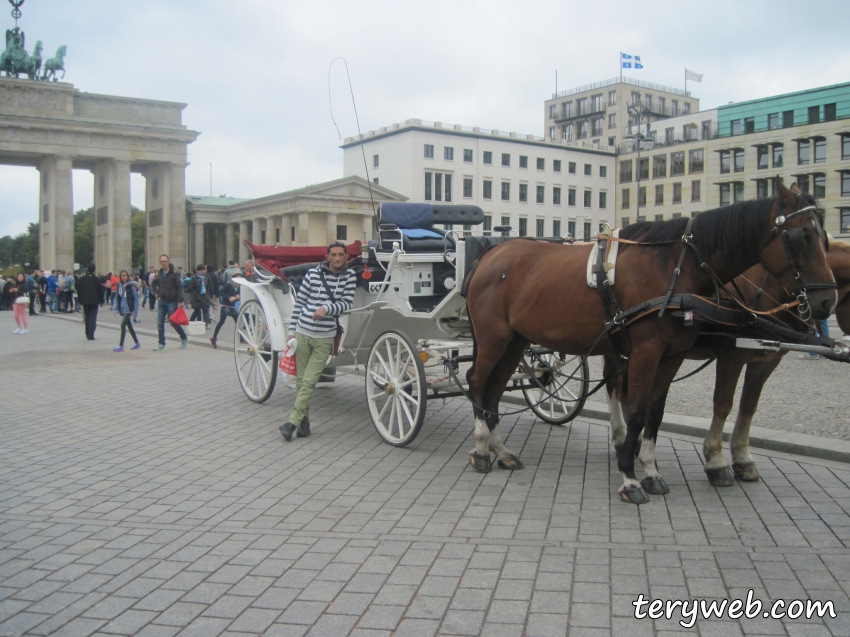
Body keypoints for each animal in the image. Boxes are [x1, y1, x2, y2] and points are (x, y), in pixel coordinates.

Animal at [460, 178, 832, 502]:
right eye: (803, 236)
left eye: (825, 237)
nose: (827, 300)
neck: (673, 269)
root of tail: (489, 257)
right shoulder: (648, 352)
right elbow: (638, 411)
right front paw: (629, 476)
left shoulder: (672, 355)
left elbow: (655, 411)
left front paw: (650, 472)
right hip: (494, 337)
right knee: (476, 381)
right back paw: (480, 448)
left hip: (516, 340)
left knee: (494, 389)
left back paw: (501, 449)